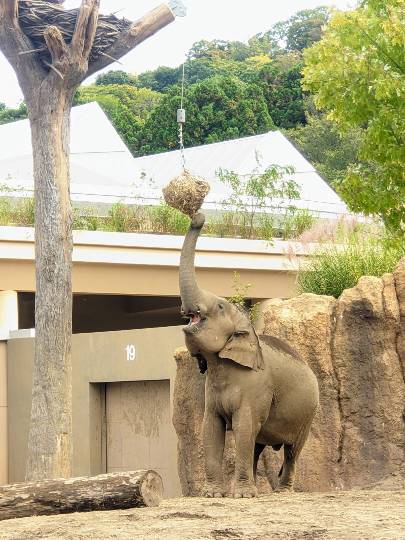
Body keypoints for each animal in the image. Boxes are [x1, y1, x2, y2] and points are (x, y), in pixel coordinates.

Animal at [178, 212, 318, 498]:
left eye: (220, 306)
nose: (198, 216)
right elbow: (211, 429)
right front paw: (213, 495)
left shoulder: (255, 386)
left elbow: (243, 427)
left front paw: (240, 497)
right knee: (257, 444)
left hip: (308, 414)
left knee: (291, 450)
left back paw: (281, 492)